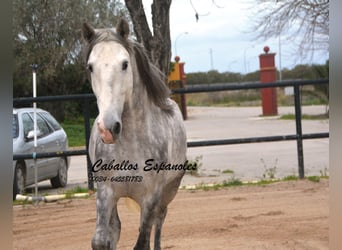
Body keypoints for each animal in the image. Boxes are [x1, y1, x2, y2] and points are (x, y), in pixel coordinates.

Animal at [83, 18, 188, 250]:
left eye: (124, 64)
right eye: (90, 67)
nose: (108, 128)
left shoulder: (151, 197)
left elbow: (142, 242)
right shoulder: (105, 192)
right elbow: (101, 240)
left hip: (168, 192)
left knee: (159, 221)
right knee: (117, 228)